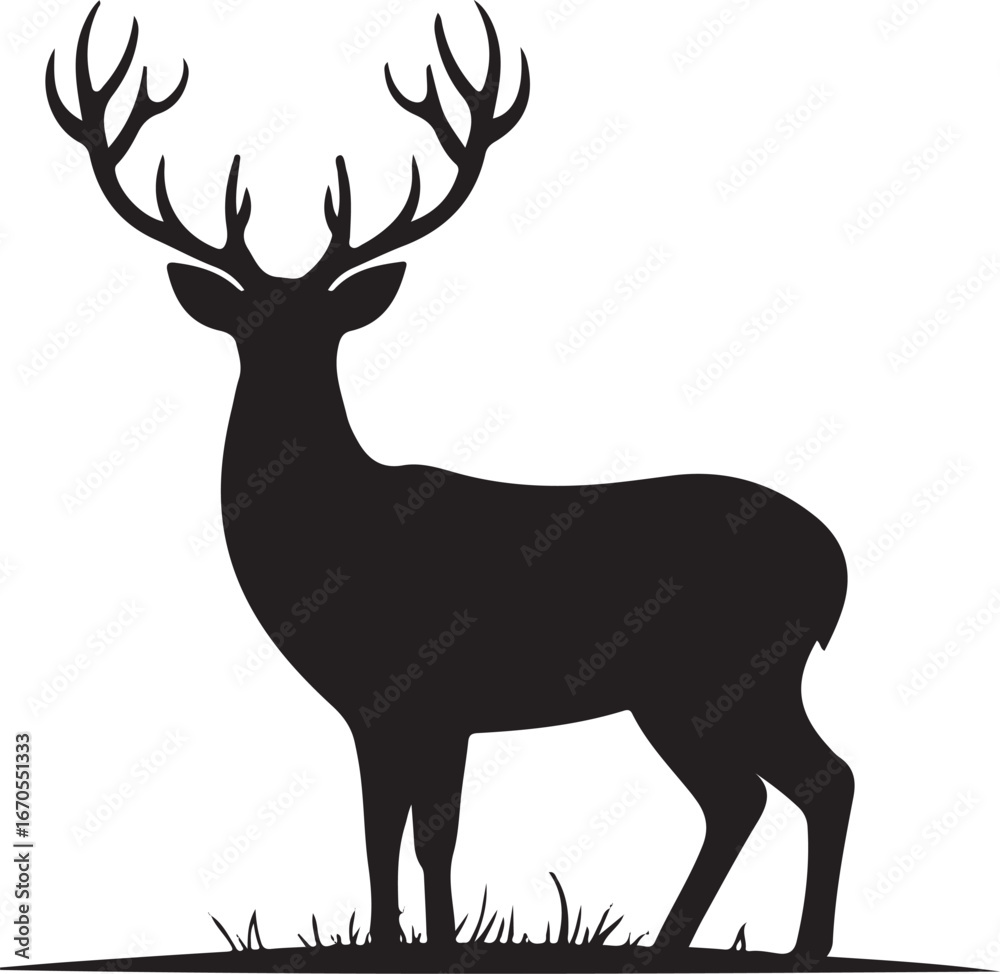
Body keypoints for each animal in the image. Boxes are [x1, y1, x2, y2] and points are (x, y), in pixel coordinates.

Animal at [48, 2, 854, 963]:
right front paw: (401, 940)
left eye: (322, 331)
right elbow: (385, 832)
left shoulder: (428, 693)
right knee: (761, 794)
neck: (335, 541)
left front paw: (427, 942)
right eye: (249, 327)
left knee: (803, 783)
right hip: (703, 687)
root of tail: (835, 565)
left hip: (725, 671)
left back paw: (788, 948)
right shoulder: (380, 709)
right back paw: (700, 942)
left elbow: (429, 835)